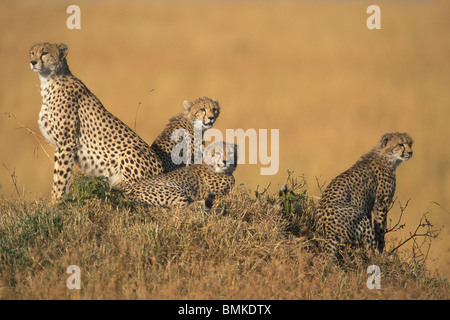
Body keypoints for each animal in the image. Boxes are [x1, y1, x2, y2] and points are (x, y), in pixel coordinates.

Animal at [29, 41, 163, 199]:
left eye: (45, 52)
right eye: (32, 53)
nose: (33, 62)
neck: (50, 81)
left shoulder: (67, 143)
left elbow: (61, 178)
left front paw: (57, 201)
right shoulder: (59, 145)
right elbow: (57, 177)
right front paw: (55, 199)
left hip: (129, 151)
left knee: (131, 186)